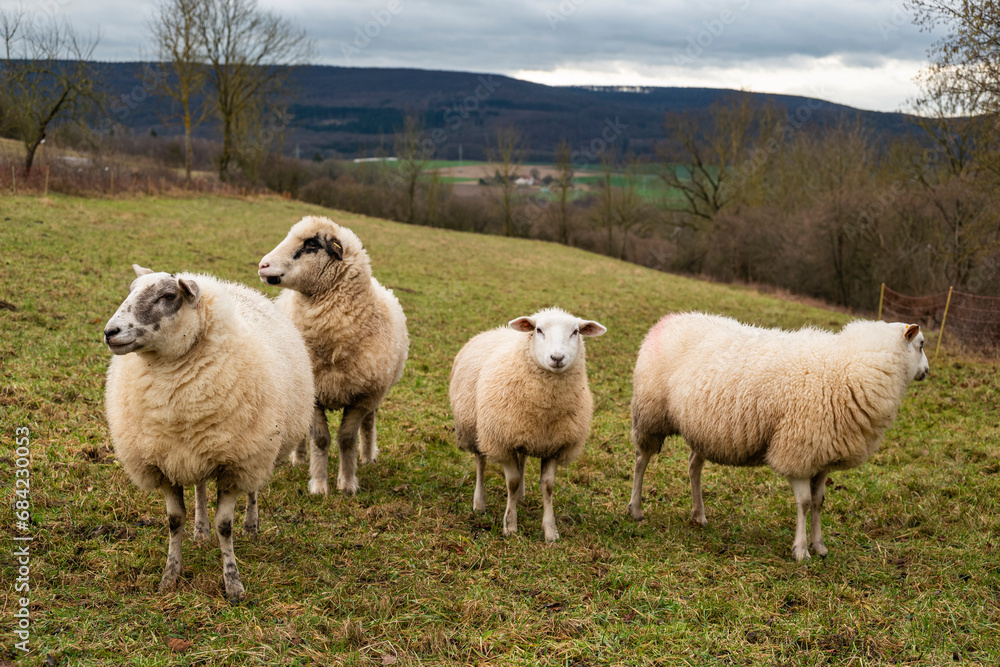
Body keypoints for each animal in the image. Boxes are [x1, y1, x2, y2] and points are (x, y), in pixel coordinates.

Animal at [102, 264, 312, 604]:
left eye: (168, 296)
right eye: (131, 290)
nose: (110, 332)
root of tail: (238, 288)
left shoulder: (235, 464)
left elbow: (224, 526)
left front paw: (233, 584)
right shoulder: (163, 462)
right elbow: (175, 521)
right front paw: (169, 577)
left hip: (258, 447)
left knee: (253, 490)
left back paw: (251, 526)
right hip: (197, 450)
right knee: (200, 486)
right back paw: (200, 530)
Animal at [262, 217, 414, 498]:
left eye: (311, 245)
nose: (262, 265)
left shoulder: (363, 395)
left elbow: (346, 439)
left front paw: (347, 483)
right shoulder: (315, 393)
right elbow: (321, 439)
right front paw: (320, 485)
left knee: (370, 422)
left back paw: (368, 457)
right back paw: (299, 458)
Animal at [450, 308, 604, 544]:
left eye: (575, 332)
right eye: (538, 330)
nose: (557, 358)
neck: (545, 409)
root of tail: (494, 331)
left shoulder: (555, 446)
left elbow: (547, 486)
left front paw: (550, 531)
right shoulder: (502, 441)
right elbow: (511, 482)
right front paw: (510, 525)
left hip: (522, 432)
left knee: (521, 459)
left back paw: (521, 497)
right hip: (475, 430)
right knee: (480, 463)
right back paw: (479, 504)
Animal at [628, 310, 924, 560]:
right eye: (921, 344)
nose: (927, 371)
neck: (851, 366)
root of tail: (669, 319)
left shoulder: (821, 455)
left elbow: (819, 502)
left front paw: (819, 546)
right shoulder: (797, 450)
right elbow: (804, 503)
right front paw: (801, 550)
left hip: (702, 428)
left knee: (693, 466)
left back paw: (698, 514)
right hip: (650, 413)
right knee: (641, 460)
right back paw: (636, 509)